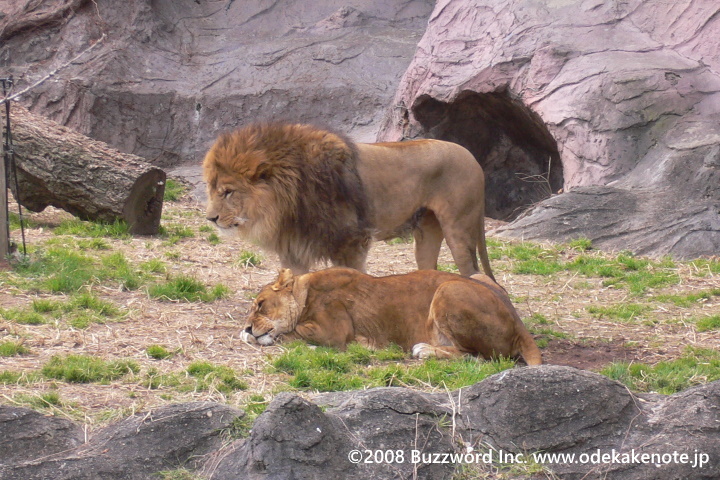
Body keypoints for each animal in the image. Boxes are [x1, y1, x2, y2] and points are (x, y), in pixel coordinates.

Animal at [202, 124, 496, 280]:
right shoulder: (293, 247)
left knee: (472, 272)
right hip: (426, 233)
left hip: (459, 229)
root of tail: (472, 158)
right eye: (211, 189)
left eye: (228, 192)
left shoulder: (353, 240)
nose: (210, 218)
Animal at [242, 268, 540, 366]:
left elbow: (292, 332)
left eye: (260, 304)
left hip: (449, 288)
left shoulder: (334, 332)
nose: (246, 328)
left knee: (478, 357)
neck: (306, 293)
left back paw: (424, 350)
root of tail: (519, 324)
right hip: (476, 276)